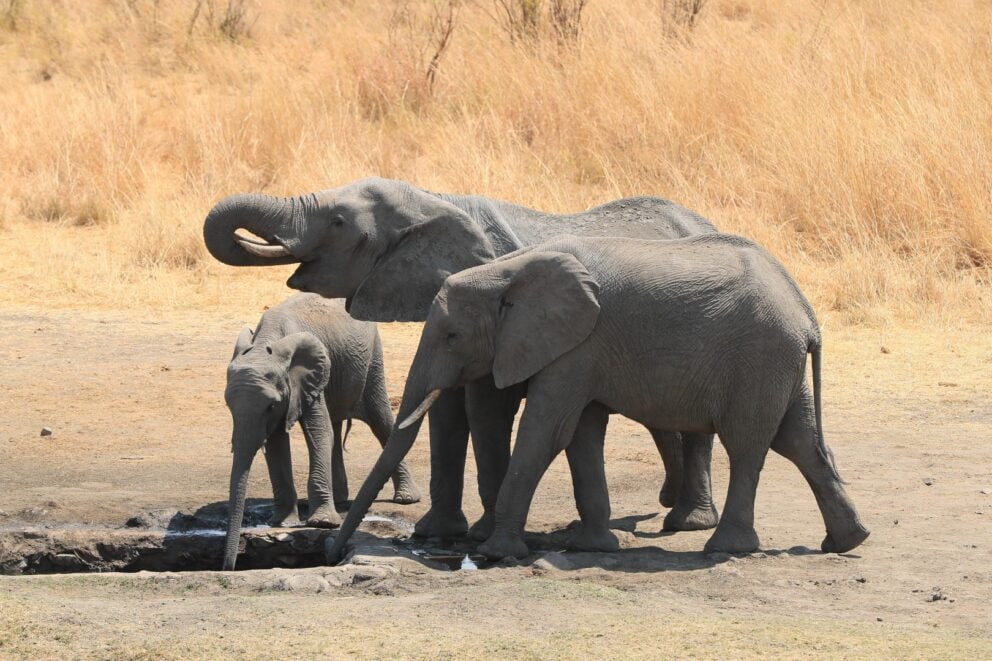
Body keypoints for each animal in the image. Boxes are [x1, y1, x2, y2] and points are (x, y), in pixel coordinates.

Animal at [203, 177, 719, 541]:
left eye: (339, 222)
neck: (433, 200)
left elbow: (485, 407)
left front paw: (480, 534)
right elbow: (447, 410)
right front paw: (436, 533)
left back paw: (688, 523)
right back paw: (668, 505)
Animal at [222, 293, 420, 570]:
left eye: (270, 405)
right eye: (228, 405)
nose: (228, 566)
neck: (265, 343)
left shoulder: (307, 378)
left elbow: (318, 431)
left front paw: (321, 523)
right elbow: (276, 443)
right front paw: (283, 522)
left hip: (372, 359)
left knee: (381, 420)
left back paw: (406, 498)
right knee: (337, 425)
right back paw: (341, 499)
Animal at [327, 234, 871, 561]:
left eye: (452, 337)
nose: (332, 552)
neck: (511, 268)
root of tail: (806, 313)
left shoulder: (576, 346)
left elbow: (547, 432)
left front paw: (498, 554)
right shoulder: (581, 352)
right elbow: (581, 434)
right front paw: (591, 546)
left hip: (759, 357)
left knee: (748, 446)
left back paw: (725, 550)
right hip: (779, 362)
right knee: (800, 441)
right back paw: (846, 542)